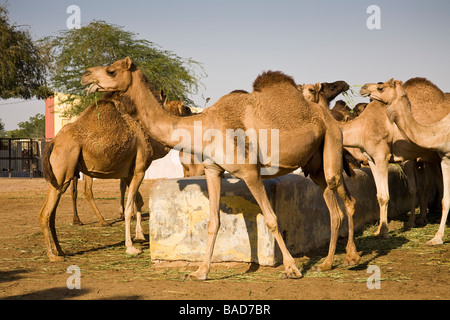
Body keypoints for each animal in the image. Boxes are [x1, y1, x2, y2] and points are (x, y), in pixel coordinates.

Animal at [37, 89, 169, 262]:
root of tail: (52, 143)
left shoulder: (129, 172)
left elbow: (137, 201)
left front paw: (139, 237)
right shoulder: (139, 169)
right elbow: (129, 208)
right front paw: (131, 247)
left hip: (61, 178)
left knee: (52, 213)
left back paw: (61, 251)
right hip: (62, 172)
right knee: (45, 213)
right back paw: (53, 255)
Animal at [81, 58, 362, 280]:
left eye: (111, 71)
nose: (85, 75)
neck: (205, 126)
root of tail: (328, 116)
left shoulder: (250, 172)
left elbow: (271, 219)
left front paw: (292, 269)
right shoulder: (212, 170)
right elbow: (213, 222)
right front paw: (200, 272)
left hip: (332, 144)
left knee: (343, 198)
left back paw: (347, 259)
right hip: (315, 165)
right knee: (334, 205)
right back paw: (329, 263)